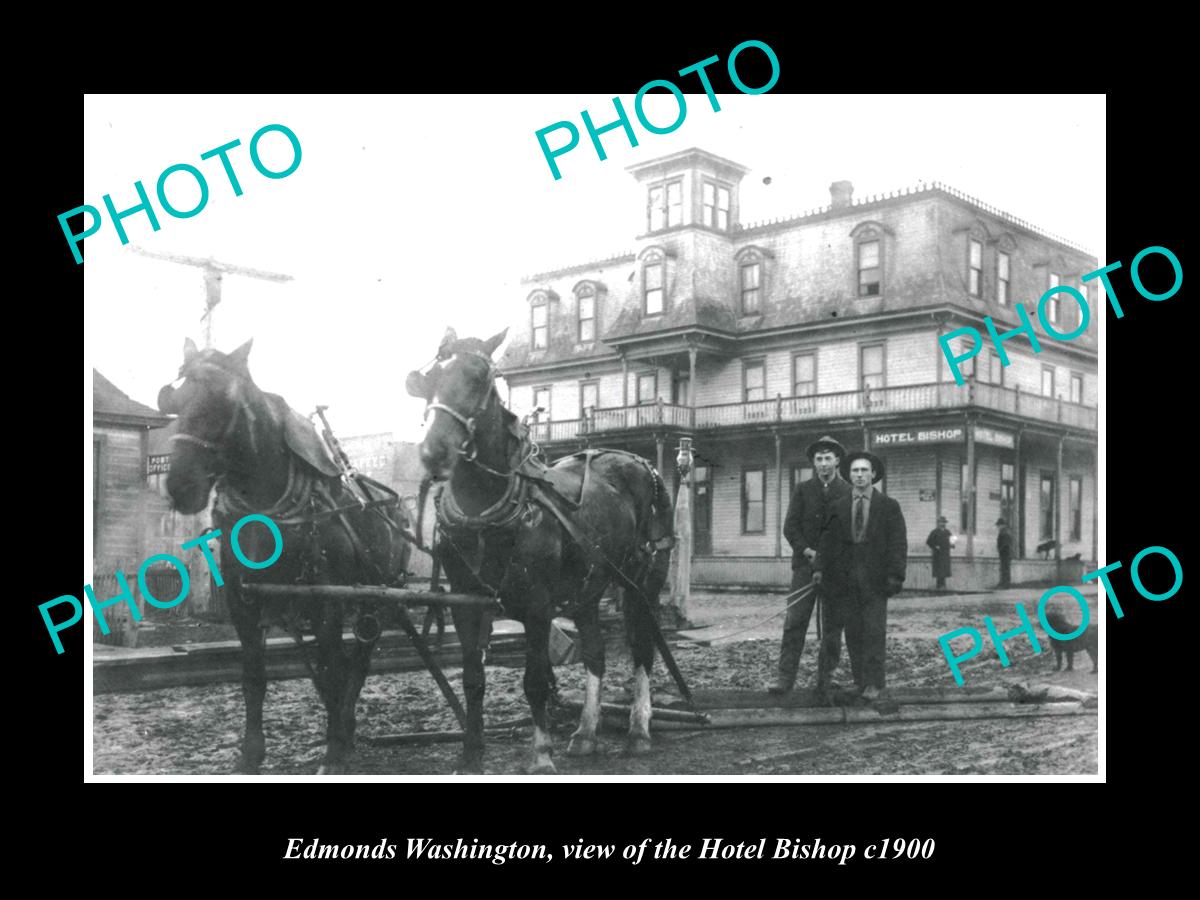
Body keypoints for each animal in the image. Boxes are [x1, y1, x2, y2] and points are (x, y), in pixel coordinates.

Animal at [157, 338, 410, 777]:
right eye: (175, 401)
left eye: (222, 402)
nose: (180, 487)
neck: (266, 505)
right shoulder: (243, 602)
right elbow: (255, 677)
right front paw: (250, 755)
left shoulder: (328, 604)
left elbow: (332, 670)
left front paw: (333, 754)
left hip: (374, 598)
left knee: (357, 662)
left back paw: (344, 728)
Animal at [408, 331, 676, 777]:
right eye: (425, 380)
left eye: (479, 377)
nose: (433, 451)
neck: (487, 511)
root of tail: (640, 462)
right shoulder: (465, 604)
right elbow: (472, 678)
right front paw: (471, 755)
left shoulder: (536, 606)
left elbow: (534, 680)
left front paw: (540, 755)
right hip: (589, 588)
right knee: (596, 653)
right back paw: (586, 733)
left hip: (642, 582)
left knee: (641, 648)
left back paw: (639, 729)